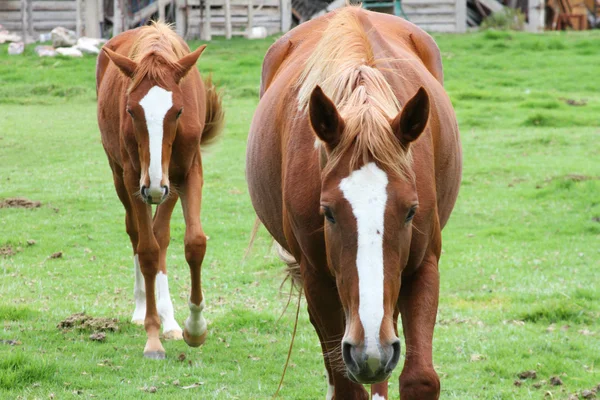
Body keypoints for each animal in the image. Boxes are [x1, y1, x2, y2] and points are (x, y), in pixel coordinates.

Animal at [96, 21, 223, 360]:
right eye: (130, 111)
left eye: (178, 111)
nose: (153, 185)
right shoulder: (134, 179)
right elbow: (148, 251)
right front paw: (152, 337)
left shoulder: (185, 173)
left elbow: (193, 243)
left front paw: (195, 328)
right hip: (125, 179)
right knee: (138, 234)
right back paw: (143, 310)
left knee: (160, 233)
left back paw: (170, 320)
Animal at [246, 7, 462, 400]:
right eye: (328, 213)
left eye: (411, 211)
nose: (372, 352)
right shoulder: (319, 282)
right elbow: (347, 384)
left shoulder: (422, 265)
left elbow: (420, 378)